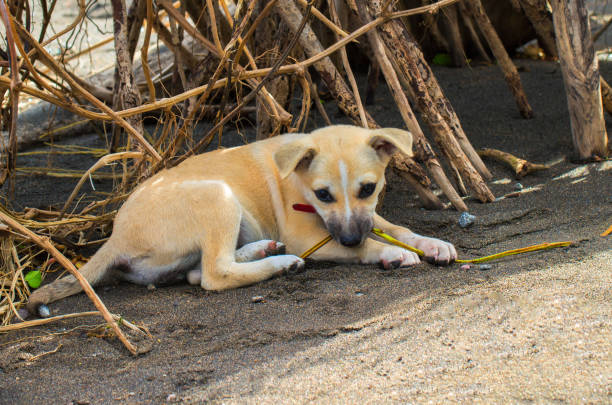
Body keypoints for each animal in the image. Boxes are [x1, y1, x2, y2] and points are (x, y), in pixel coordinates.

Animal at [28, 124, 456, 314]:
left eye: (368, 188)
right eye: (323, 195)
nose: (348, 238)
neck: (297, 180)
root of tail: (115, 237)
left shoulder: (365, 216)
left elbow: (397, 228)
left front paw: (431, 243)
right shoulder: (309, 238)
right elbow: (369, 244)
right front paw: (389, 254)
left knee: (198, 271)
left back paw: (263, 250)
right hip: (218, 196)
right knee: (214, 275)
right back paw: (280, 262)